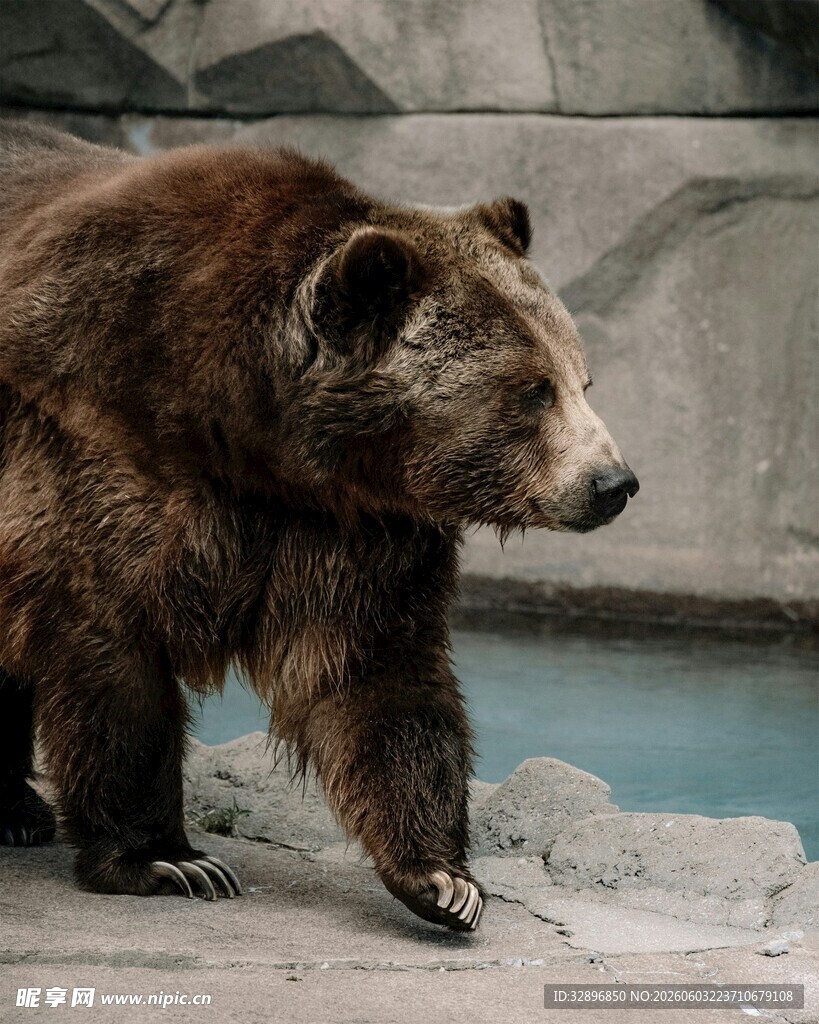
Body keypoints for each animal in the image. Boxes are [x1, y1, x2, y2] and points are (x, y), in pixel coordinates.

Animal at [0, 120, 638, 931]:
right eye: (532, 390)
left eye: (580, 378)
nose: (612, 483)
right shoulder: (98, 448)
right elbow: (113, 647)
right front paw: (170, 859)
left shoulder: (352, 527)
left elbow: (377, 673)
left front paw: (440, 877)